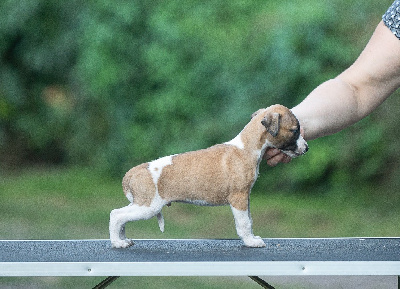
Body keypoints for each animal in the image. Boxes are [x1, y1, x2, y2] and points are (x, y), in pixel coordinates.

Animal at [108, 103, 308, 248]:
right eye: (294, 130)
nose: (306, 148)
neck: (246, 148)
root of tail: (134, 172)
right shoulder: (238, 198)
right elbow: (244, 223)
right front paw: (250, 242)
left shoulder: (245, 199)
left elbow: (249, 220)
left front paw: (251, 238)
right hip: (148, 206)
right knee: (116, 215)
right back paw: (118, 243)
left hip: (141, 204)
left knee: (121, 217)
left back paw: (123, 240)